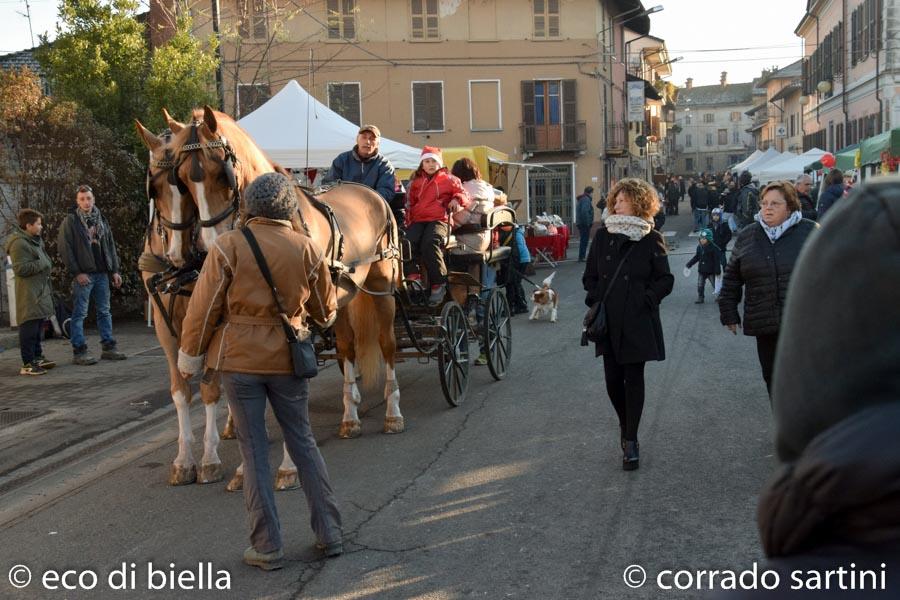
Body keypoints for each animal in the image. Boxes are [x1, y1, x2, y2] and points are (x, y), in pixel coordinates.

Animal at [170, 105, 404, 438]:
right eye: (182, 180)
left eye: (220, 173)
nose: (211, 244)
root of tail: (372, 193)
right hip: (344, 293)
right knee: (347, 346)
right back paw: (350, 415)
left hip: (383, 287)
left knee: (387, 343)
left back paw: (393, 412)